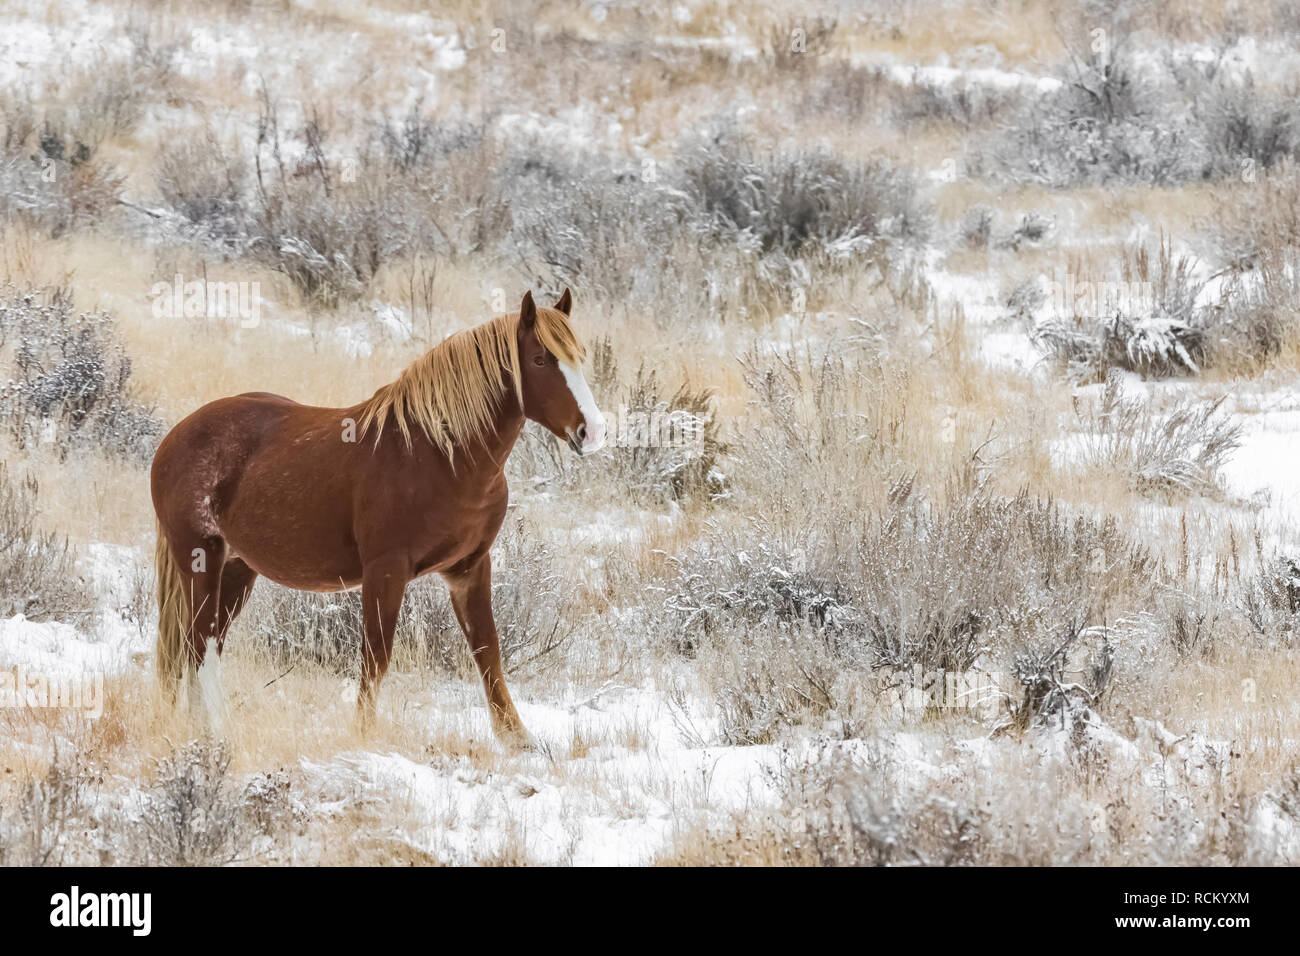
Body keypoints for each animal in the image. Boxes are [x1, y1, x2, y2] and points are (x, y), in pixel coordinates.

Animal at [150, 289, 606, 748]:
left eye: (579, 356)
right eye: (540, 359)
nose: (593, 432)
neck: (439, 455)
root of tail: (175, 436)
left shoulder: (469, 569)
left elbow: (488, 651)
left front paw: (517, 737)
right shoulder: (386, 570)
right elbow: (377, 655)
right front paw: (365, 734)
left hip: (238, 569)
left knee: (198, 646)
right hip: (201, 559)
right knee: (201, 644)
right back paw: (218, 731)